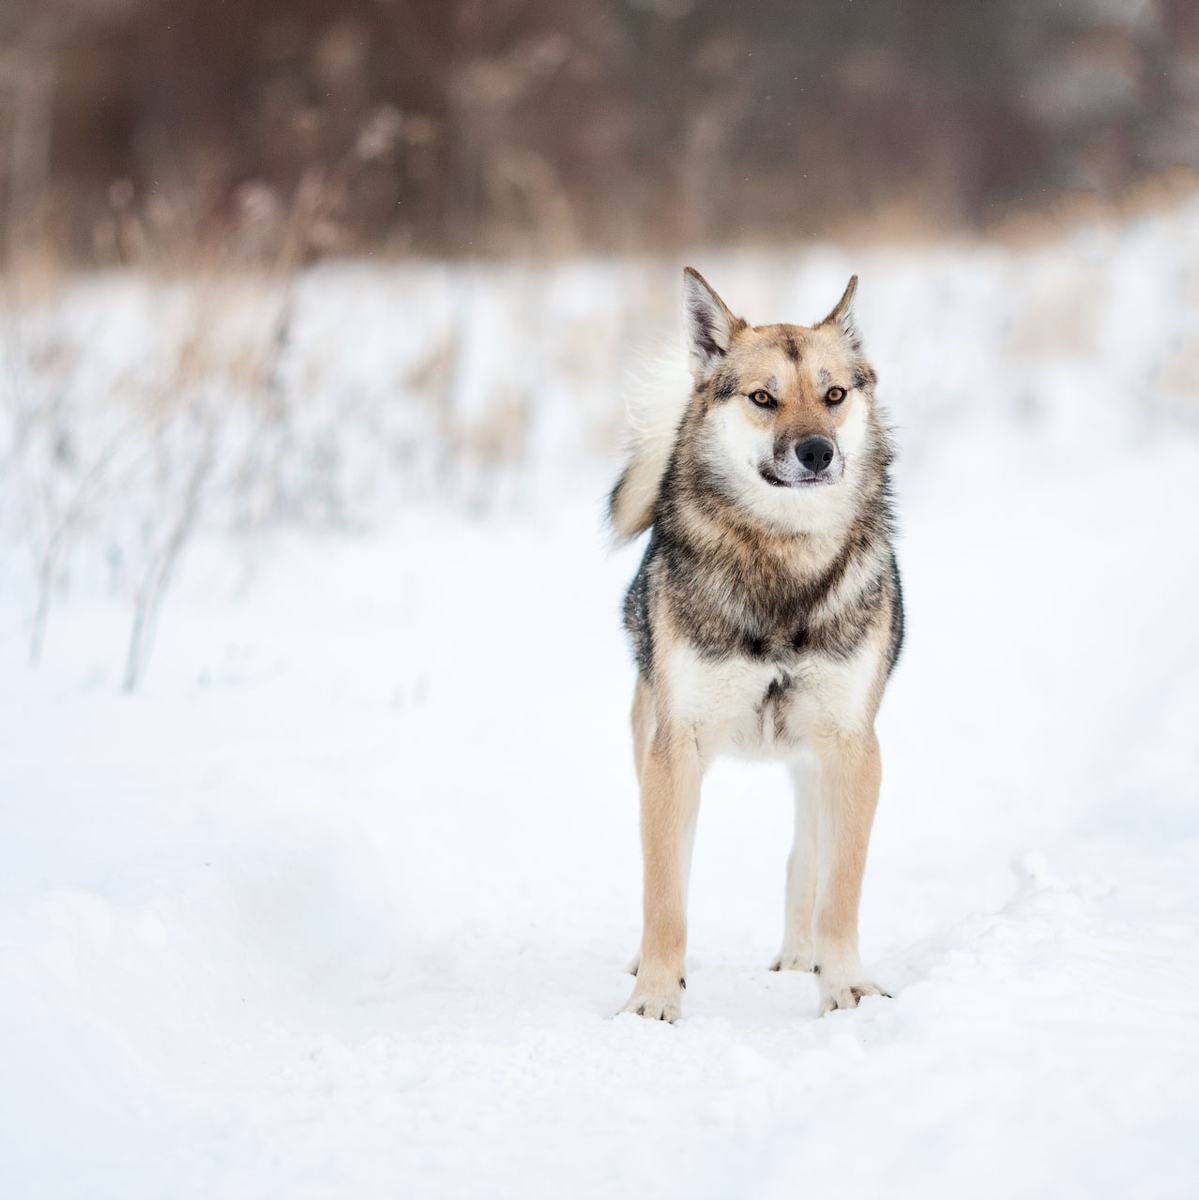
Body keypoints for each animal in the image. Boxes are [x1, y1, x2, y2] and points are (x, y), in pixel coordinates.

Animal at [609, 270, 902, 1022]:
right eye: (763, 398)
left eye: (834, 394)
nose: (817, 452)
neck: (782, 562)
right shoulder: (675, 747)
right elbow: (664, 893)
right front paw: (654, 999)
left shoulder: (854, 749)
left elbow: (839, 890)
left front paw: (846, 986)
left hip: (816, 763)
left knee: (806, 858)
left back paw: (802, 959)